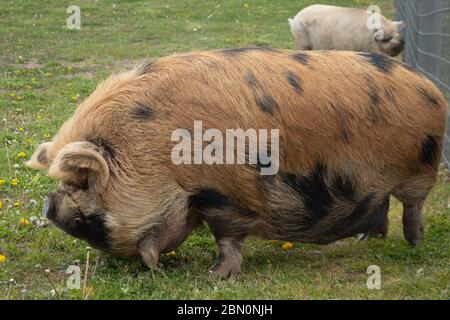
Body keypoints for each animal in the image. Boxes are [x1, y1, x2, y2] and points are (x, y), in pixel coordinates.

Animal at [25, 48, 446, 278]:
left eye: (83, 183)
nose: (50, 206)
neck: (156, 153)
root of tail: (430, 86)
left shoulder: (229, 193)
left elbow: (226, 235)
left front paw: (217, 277)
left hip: (420, 167)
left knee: (413, 204)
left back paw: (415, 243)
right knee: (382, 207)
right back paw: (367, 238)